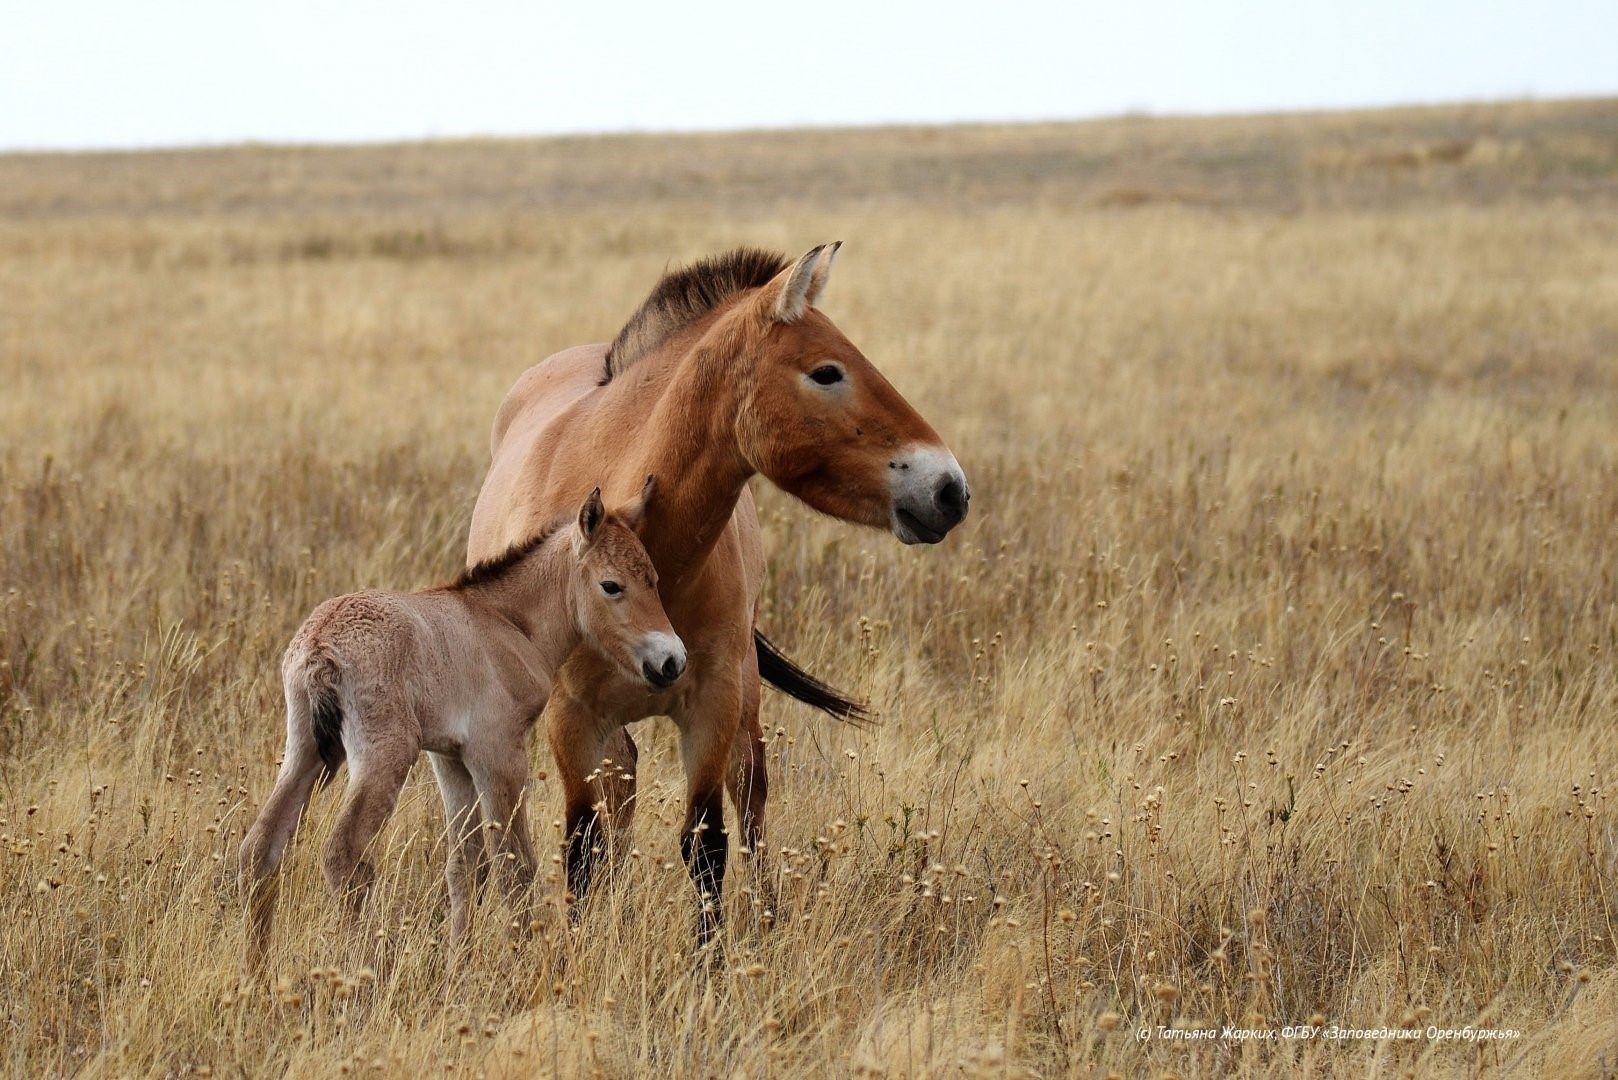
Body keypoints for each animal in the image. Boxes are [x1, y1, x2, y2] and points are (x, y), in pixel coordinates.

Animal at [236, 485, 679, 977]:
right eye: (611, 585)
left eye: (653, 579)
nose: (670, 661)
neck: (507, 623)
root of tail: (319, 646)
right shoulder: (499, 755)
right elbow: (514, 867)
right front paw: (527, 967)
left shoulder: (450, 758)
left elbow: (465, 866)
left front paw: (458, 966)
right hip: (385, 754)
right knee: (344, 855)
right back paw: (365, 972)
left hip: (304, 750)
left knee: (260, 848)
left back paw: (256, 972)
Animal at [469, 244, 970, 945]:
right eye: (827, 372)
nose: (950, 490)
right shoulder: (572, 717)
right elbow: (583, 847)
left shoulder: (711, 702)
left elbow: (705, 843)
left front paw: (713, 962)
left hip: (746, 704)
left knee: (750, 802)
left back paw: (766, 920)